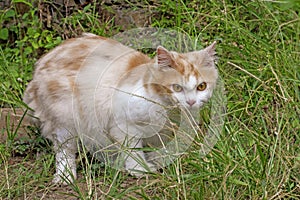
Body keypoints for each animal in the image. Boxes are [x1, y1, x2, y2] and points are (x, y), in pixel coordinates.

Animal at [22, 32, 217, 184]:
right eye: (177, 87)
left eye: (201, 87)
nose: (191, 102)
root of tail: (40, 64)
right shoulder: (124, 125)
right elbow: (133, 150)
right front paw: (140, 169)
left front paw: (157, 160)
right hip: (66, 118)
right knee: (64, 150)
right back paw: (65, 176)